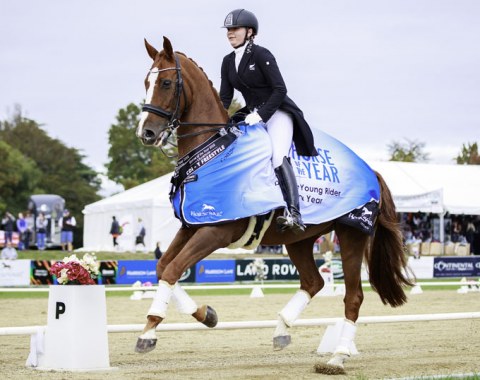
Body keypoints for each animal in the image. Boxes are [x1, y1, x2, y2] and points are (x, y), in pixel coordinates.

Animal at [132, 36, 412, 374]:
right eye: (146, 82)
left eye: (166, 82)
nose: (146, 134)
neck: (211, 152)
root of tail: (373, 171)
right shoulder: (191, 225)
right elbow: (163, 268)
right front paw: (202, 315)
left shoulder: (215, 231)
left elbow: (173, 269)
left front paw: (150, 332)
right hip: (299, 239)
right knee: (314, 281)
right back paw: (282, 329)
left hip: (351, 234)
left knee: (353, 296)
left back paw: (337, 356)